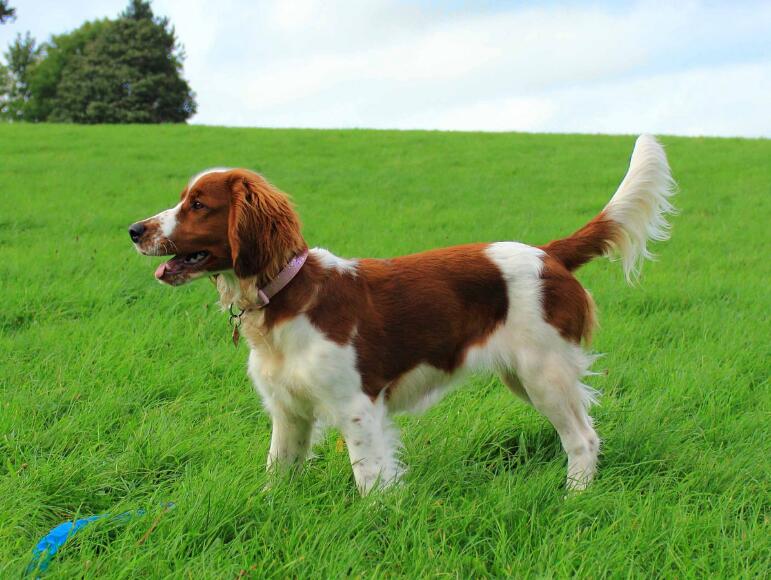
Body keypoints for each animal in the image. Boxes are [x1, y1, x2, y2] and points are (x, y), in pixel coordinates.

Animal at [129, 135, 675, 494]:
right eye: (183, 200)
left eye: (198, 205)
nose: (134, 230)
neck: (286, 299)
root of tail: (550, 253)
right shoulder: (289, 411)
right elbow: (277, 472)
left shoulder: (357, 405)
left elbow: (370, 480)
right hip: (524, 376)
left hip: (545, 374)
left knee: (583, 438)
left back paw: (574, 498)